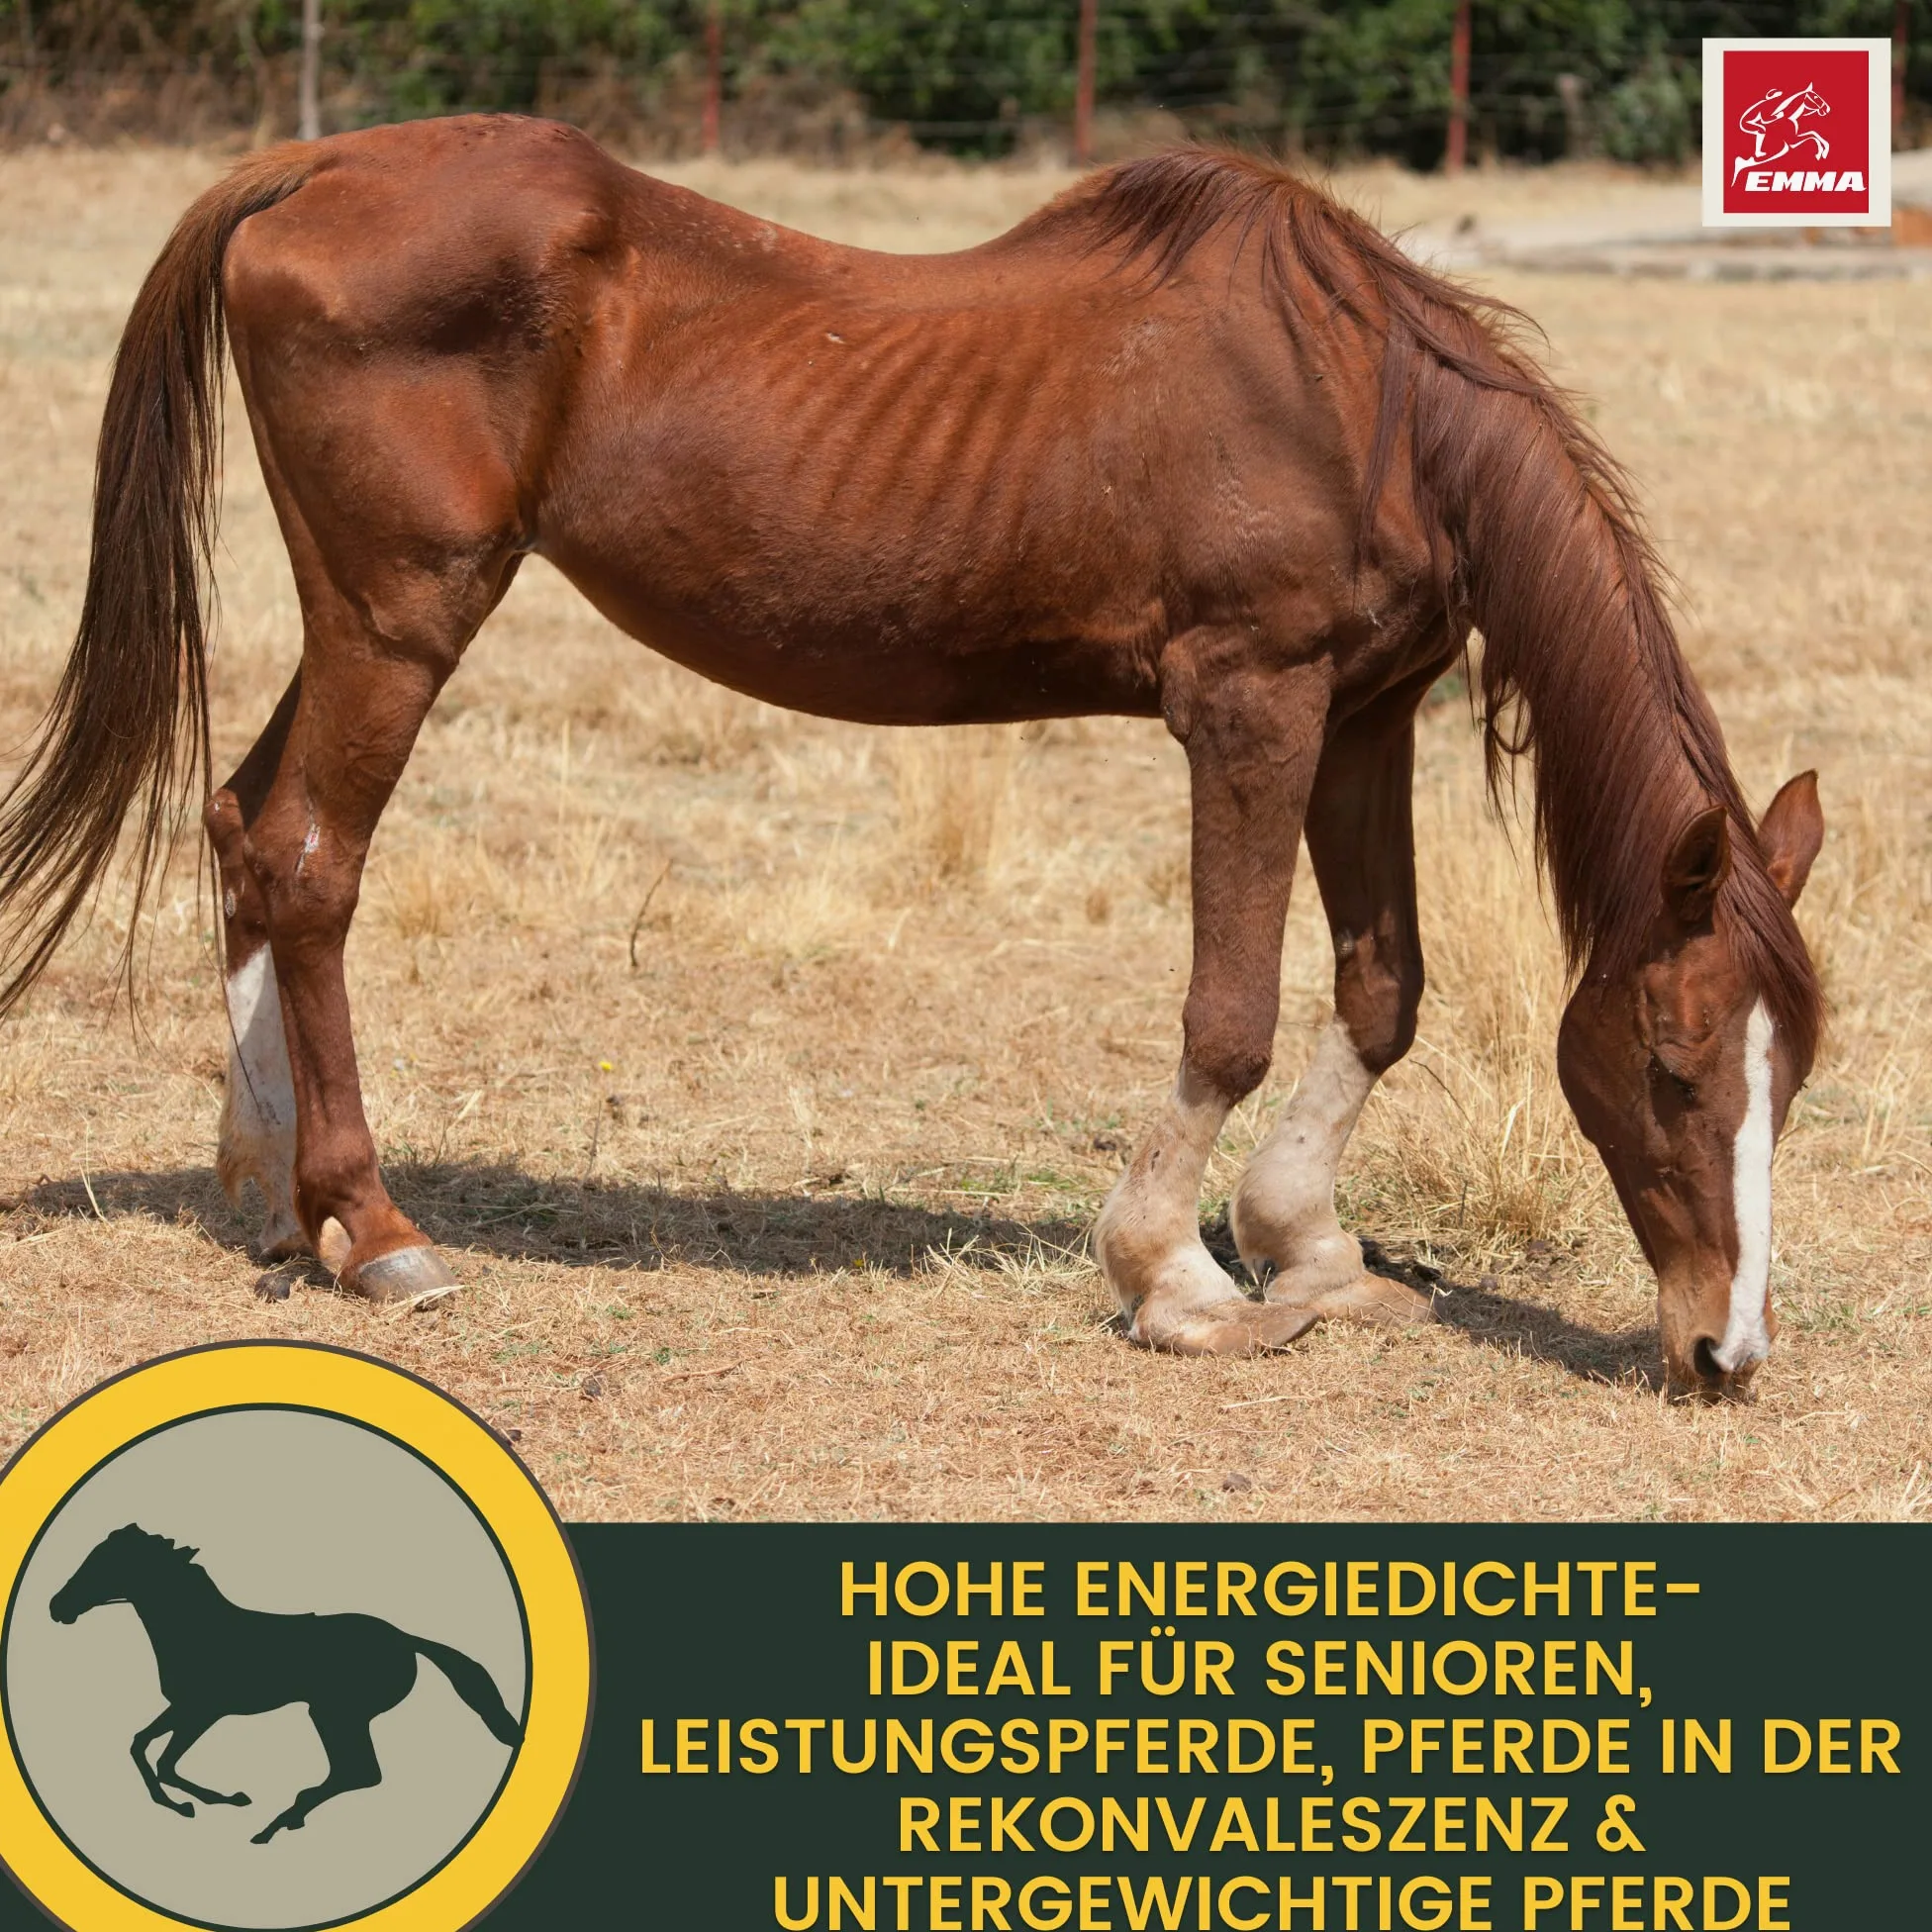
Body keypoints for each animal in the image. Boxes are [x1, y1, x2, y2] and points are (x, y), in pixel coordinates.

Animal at [0, 122, 1823, 1396]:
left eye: (1788, 1075)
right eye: (1669, 1064)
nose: (1723, 1354)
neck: (1359, 400)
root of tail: (310, 164)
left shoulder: (1363, 716)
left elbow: (1382, 990)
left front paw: (1304, 1248)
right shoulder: (1249, 708)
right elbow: (1228, 1013)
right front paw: (1175, 1278)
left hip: (358, 617)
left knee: (246, 827)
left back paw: (265, 1191)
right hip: (402, 612)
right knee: (313, 863)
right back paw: (374, 1231)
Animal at [48, 1523, 522, 1843]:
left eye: (105, 1564)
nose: (57, 1607)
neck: (197, 1627)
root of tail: (406, 1639)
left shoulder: (202, 1710)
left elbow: (164, 1761)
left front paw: (212, 1801)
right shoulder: (185, 1708)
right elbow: (140, 1746)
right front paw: (185, 1804)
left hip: (335, 1713)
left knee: (359, 1772)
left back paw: (276, 1823)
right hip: (339, 1715)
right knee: (356, 1773)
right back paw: (287, 1817)